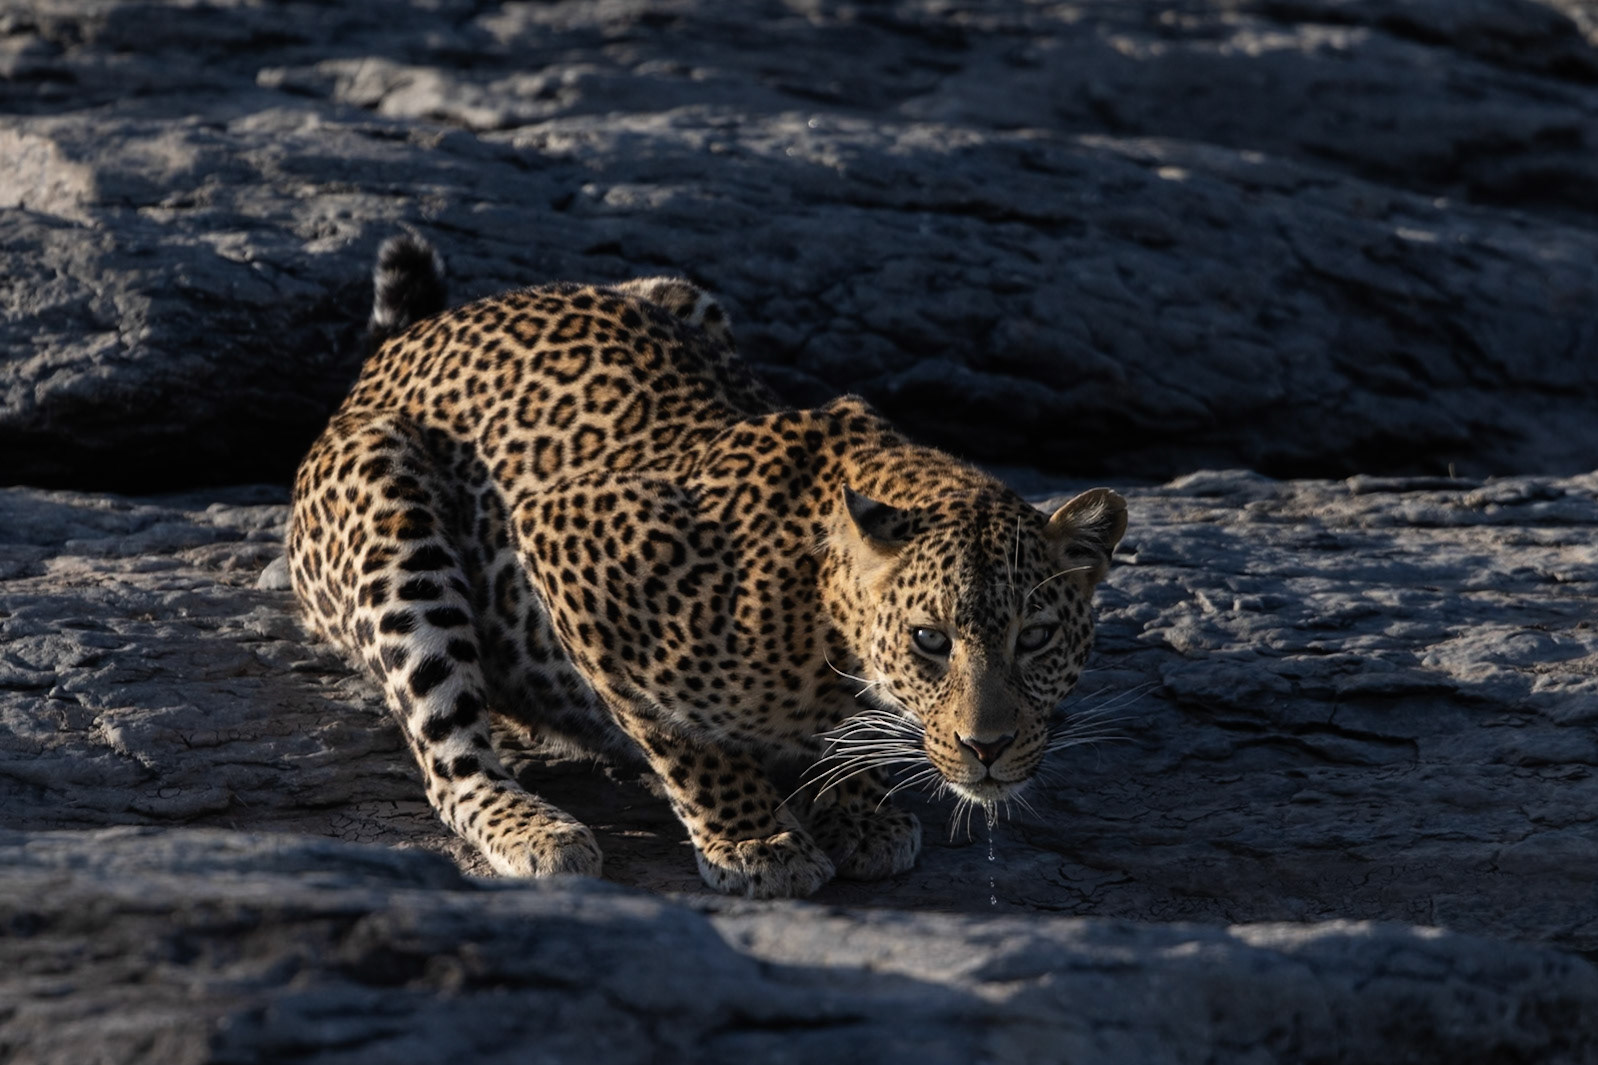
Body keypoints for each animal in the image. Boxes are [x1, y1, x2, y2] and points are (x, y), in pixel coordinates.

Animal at [287, 234, 1127, 899]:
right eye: (930, 640)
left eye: (1035, 637)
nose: (987, 748)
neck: (820, 616)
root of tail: (398, 348)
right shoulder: (563, 534)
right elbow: (682, 738)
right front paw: (756, 838)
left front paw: (855, 803)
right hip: (391, 514)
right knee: (448, 754)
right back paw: (538, 829)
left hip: (681, 292)